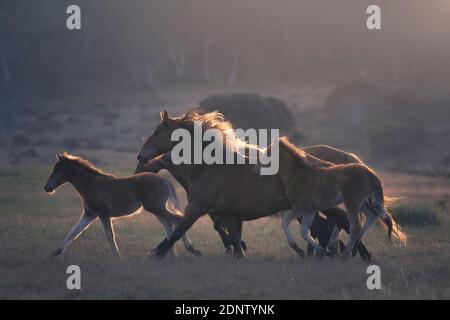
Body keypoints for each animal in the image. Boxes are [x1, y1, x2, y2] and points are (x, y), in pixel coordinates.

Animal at [42, 152, 200, 258]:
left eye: (57, 170)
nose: (47, 188)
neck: (92, 184)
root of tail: (165, 180)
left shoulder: (103, 214)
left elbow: (110, 235)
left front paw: (117, 258)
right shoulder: (89, 214)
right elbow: (73, 233)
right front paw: (53, 254)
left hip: (156, 208)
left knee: (178, 220)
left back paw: (190, 250)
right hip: (157, 209)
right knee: (169, 225)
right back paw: (170, 255)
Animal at [255, 136, 406, 258]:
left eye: (268, 154)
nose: (255, 170)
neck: (298, 174)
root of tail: (371, 174)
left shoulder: (300, 208)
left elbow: (285, 222)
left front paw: (301, 250)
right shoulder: (310, 210)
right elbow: (305, 232)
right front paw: (323, 251)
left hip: (352, 202)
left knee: (355, 226)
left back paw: (344, 255)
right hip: (362, 203)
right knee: (371, 217)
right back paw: (351, 249)